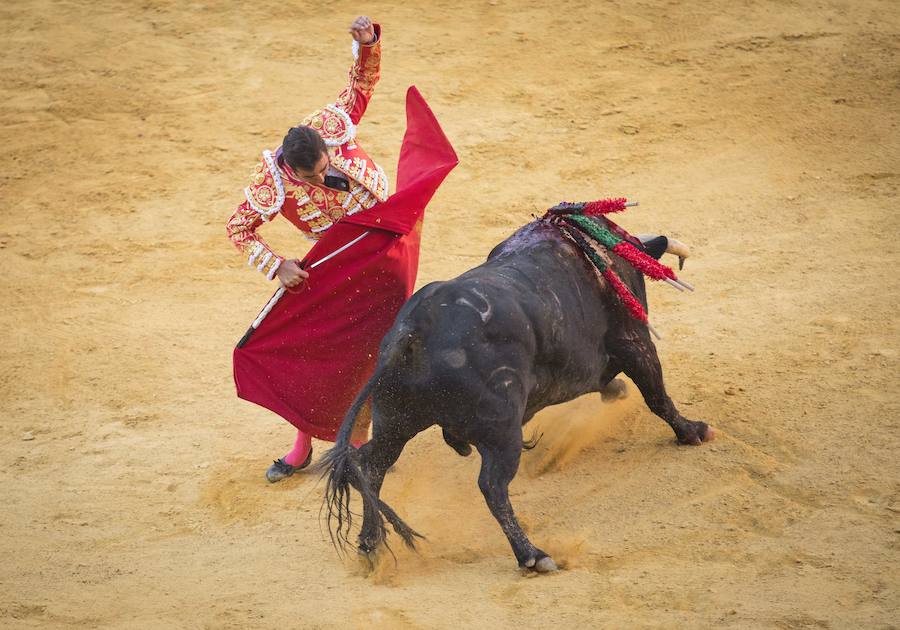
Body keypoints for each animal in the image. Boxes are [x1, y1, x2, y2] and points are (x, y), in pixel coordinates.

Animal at [320, 220, 712, 576]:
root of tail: (413, 332)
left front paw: (617, 392)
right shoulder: (634, 341)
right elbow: (657, 394)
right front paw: (692, 430)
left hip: (394, 422)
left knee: (370, 466)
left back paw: (369, 546)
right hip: (501, 431)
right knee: (492, 486)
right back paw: (533, 555)